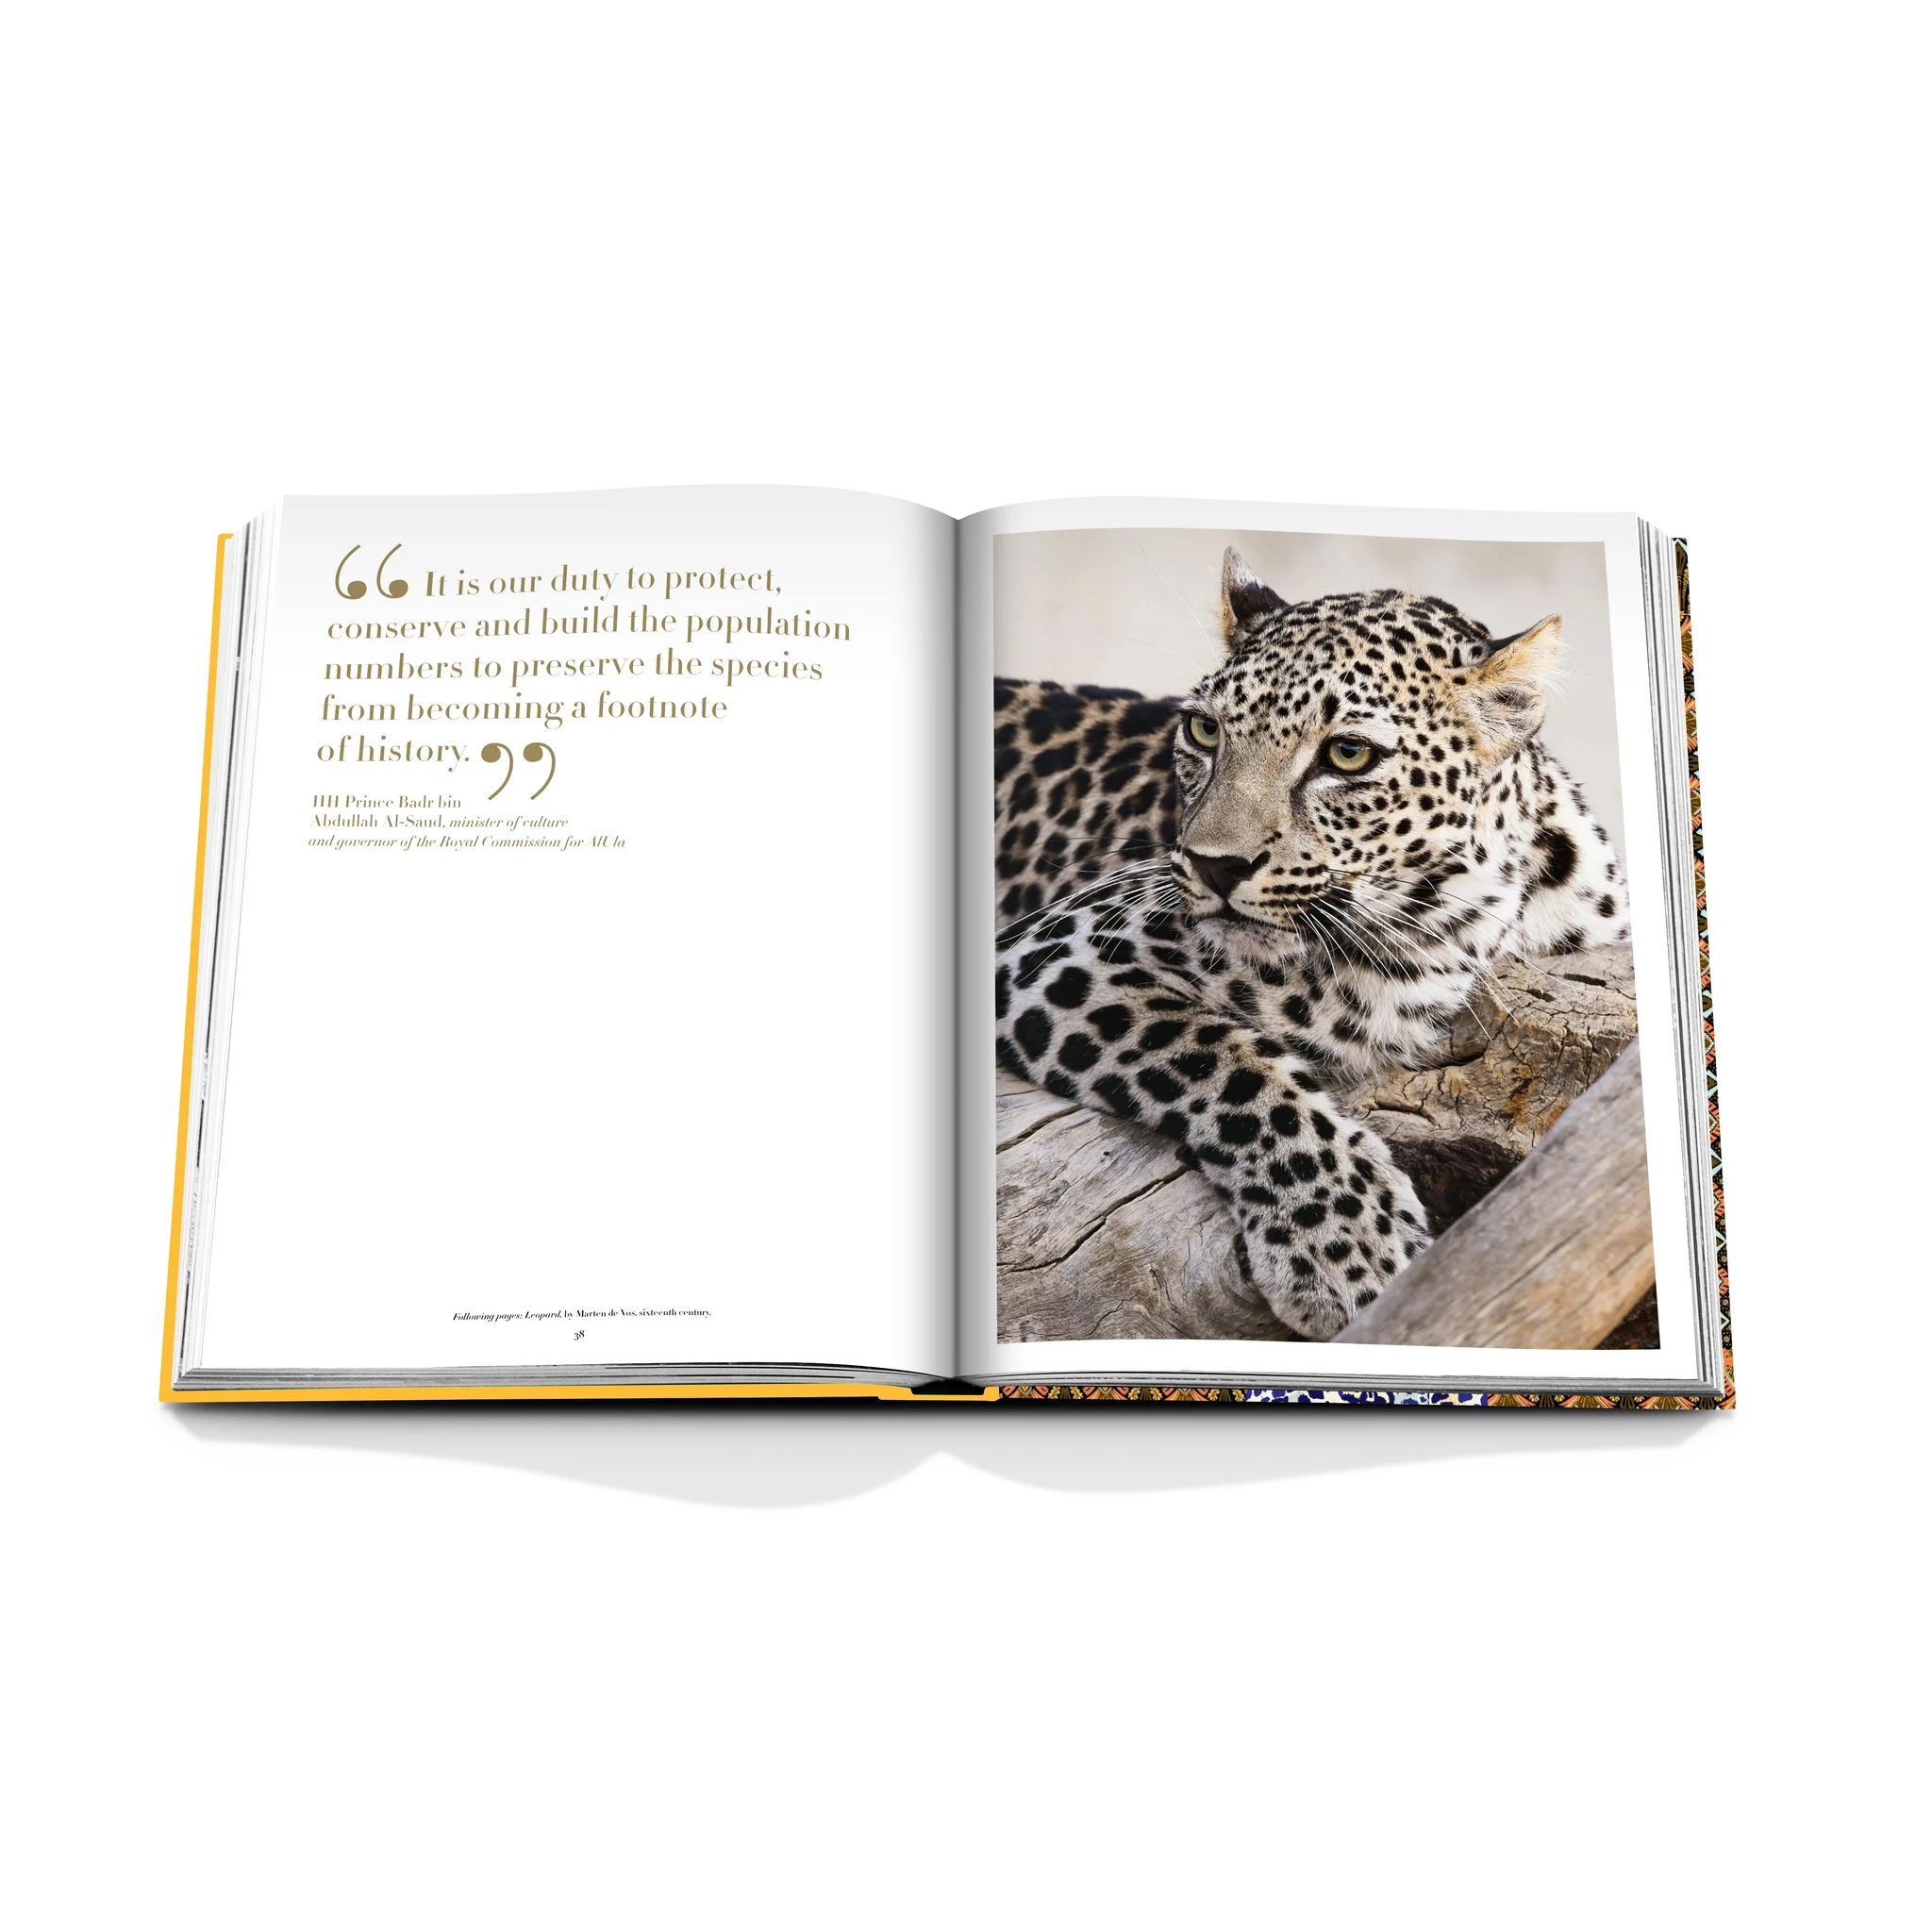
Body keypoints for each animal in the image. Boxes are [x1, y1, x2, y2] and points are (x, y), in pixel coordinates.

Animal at [994, 548, 1629, 1341]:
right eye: (1205, 732)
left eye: (1348, 754)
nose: (1214, 865)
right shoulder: (1065, 949)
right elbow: (1231, 1066)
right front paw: (1348, 1248)